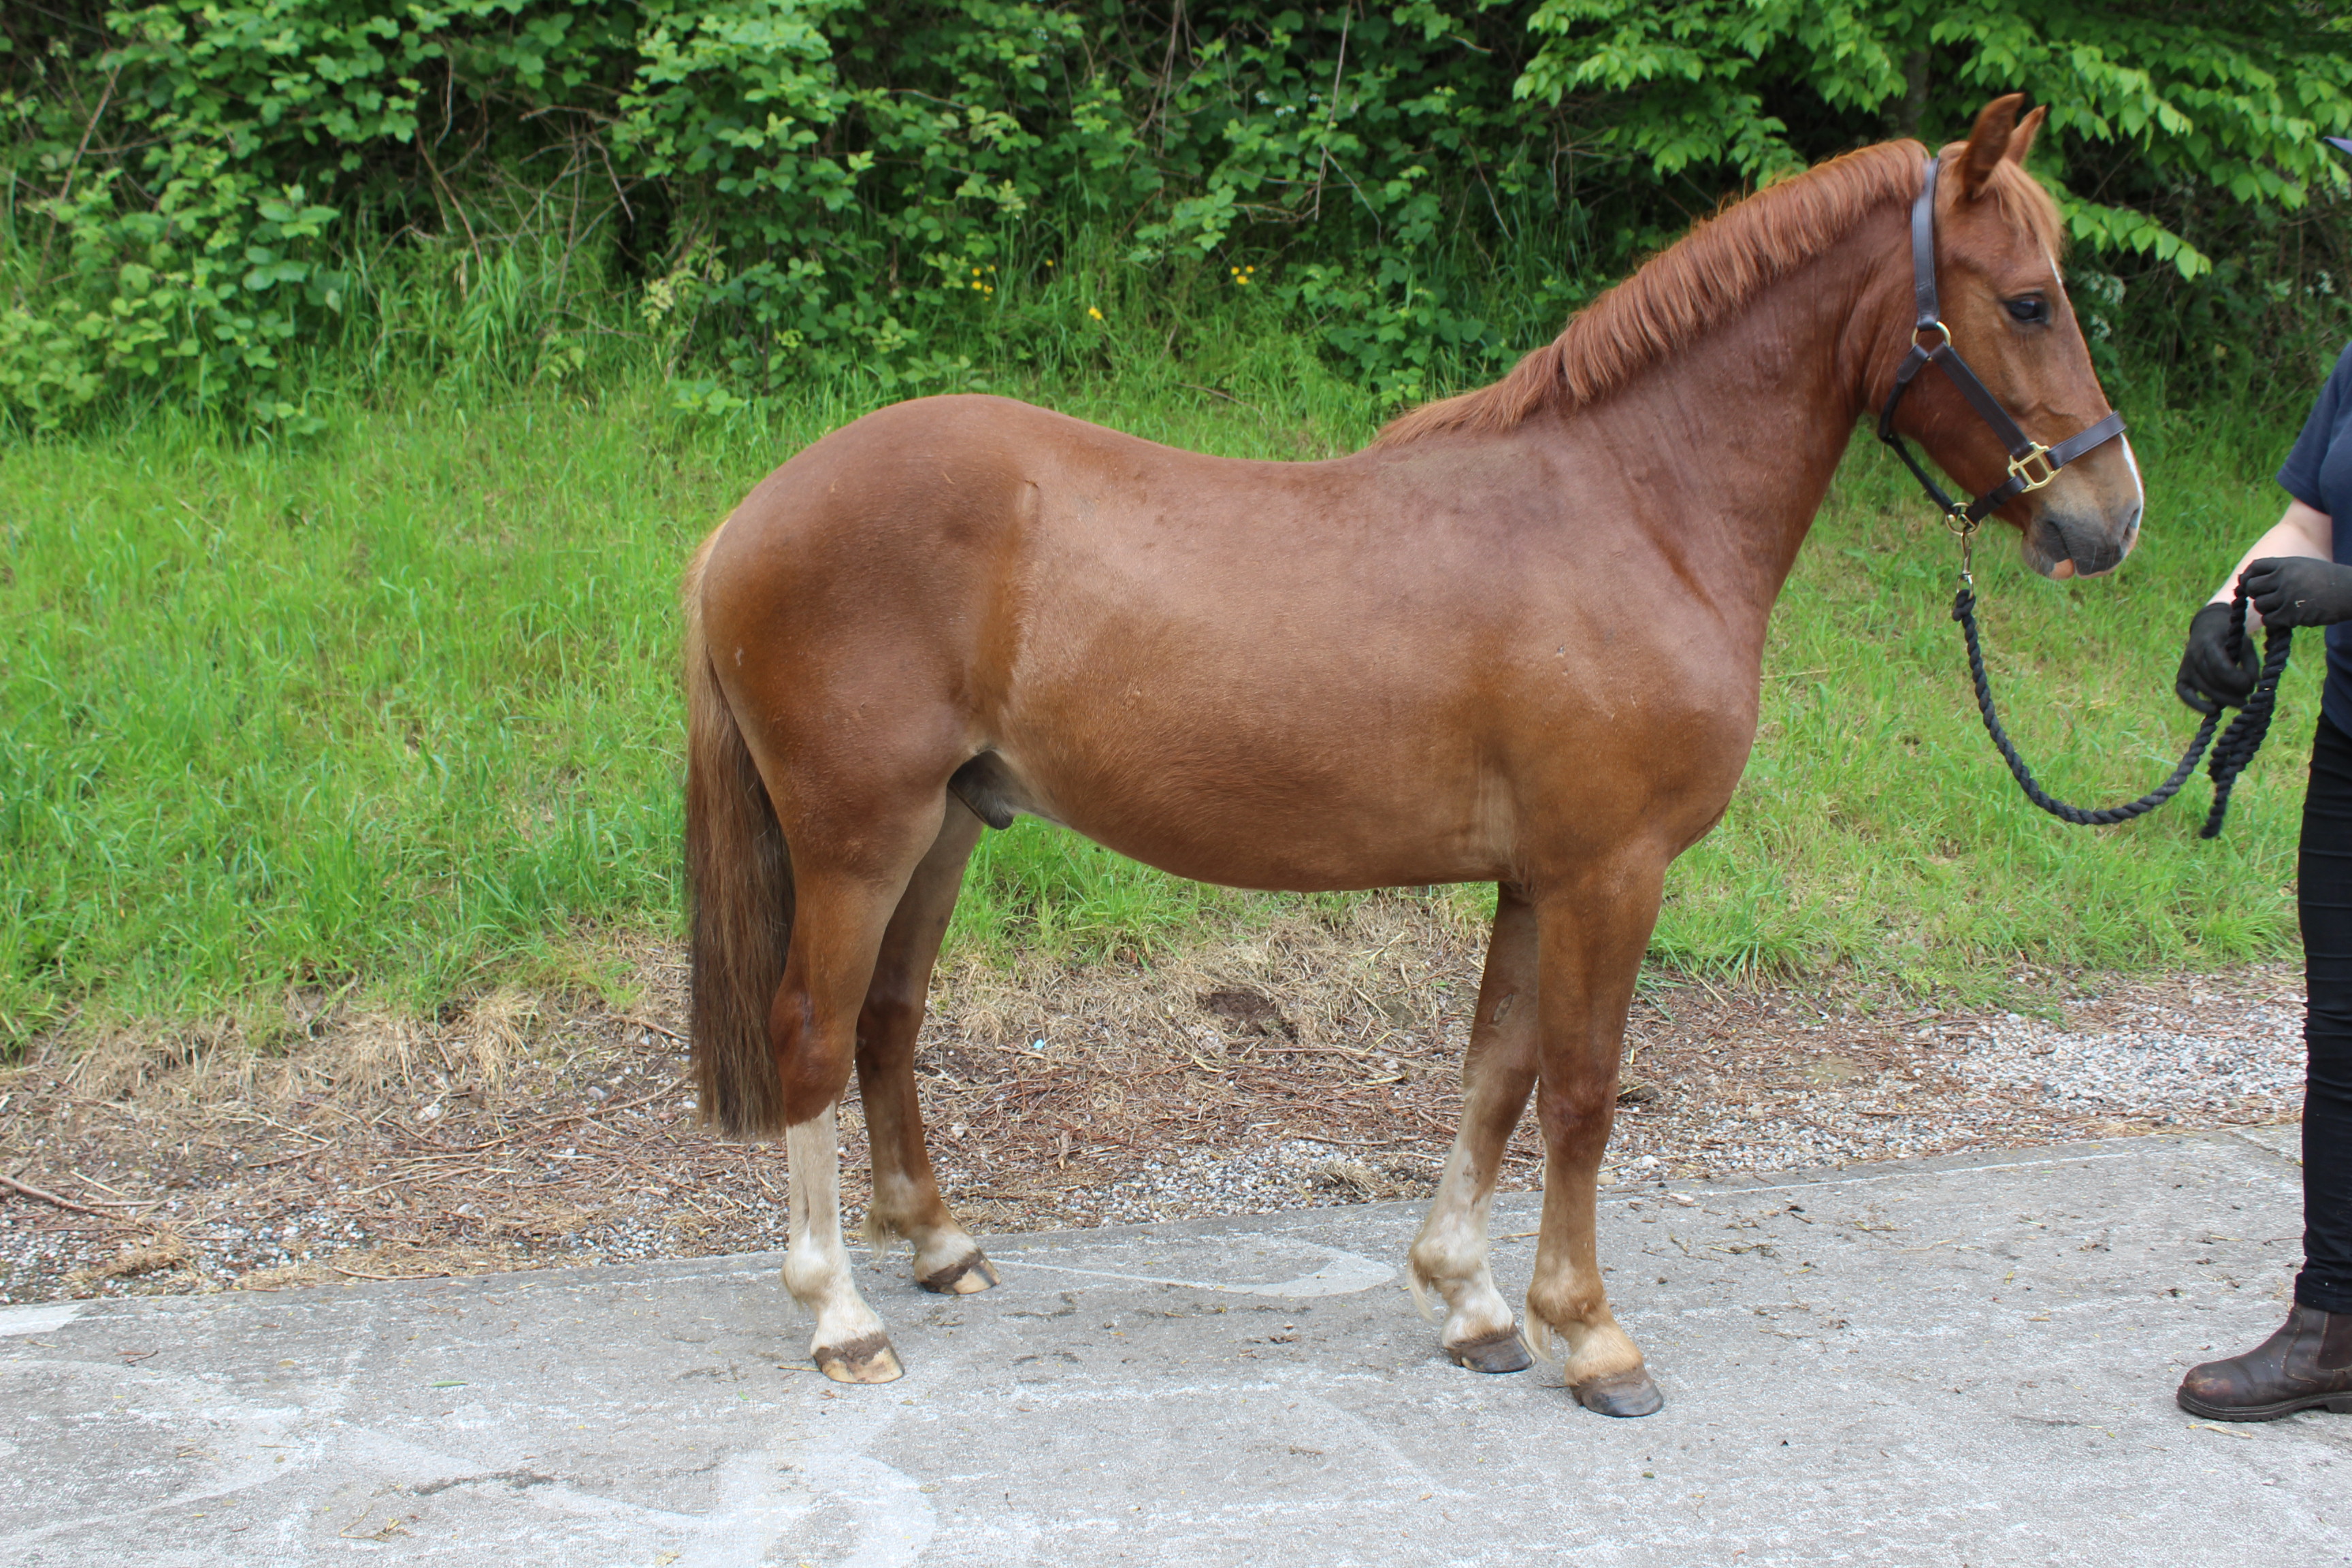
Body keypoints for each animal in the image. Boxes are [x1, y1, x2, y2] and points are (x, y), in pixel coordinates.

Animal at [679, 95, 2141, 1417]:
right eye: (2027, 303)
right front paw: (1591, 1334)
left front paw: (1474, 1301)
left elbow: (1497, 1075)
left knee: (887, 1019)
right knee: (811, 1031)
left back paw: (939, 1244)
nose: (2107, 518)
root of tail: (748, 517)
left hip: (944, 825)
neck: (1631, 509)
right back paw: (841, 1315)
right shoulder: (1611, 872)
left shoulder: (1538, 877)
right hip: (858, 839)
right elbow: (1582, 1094)